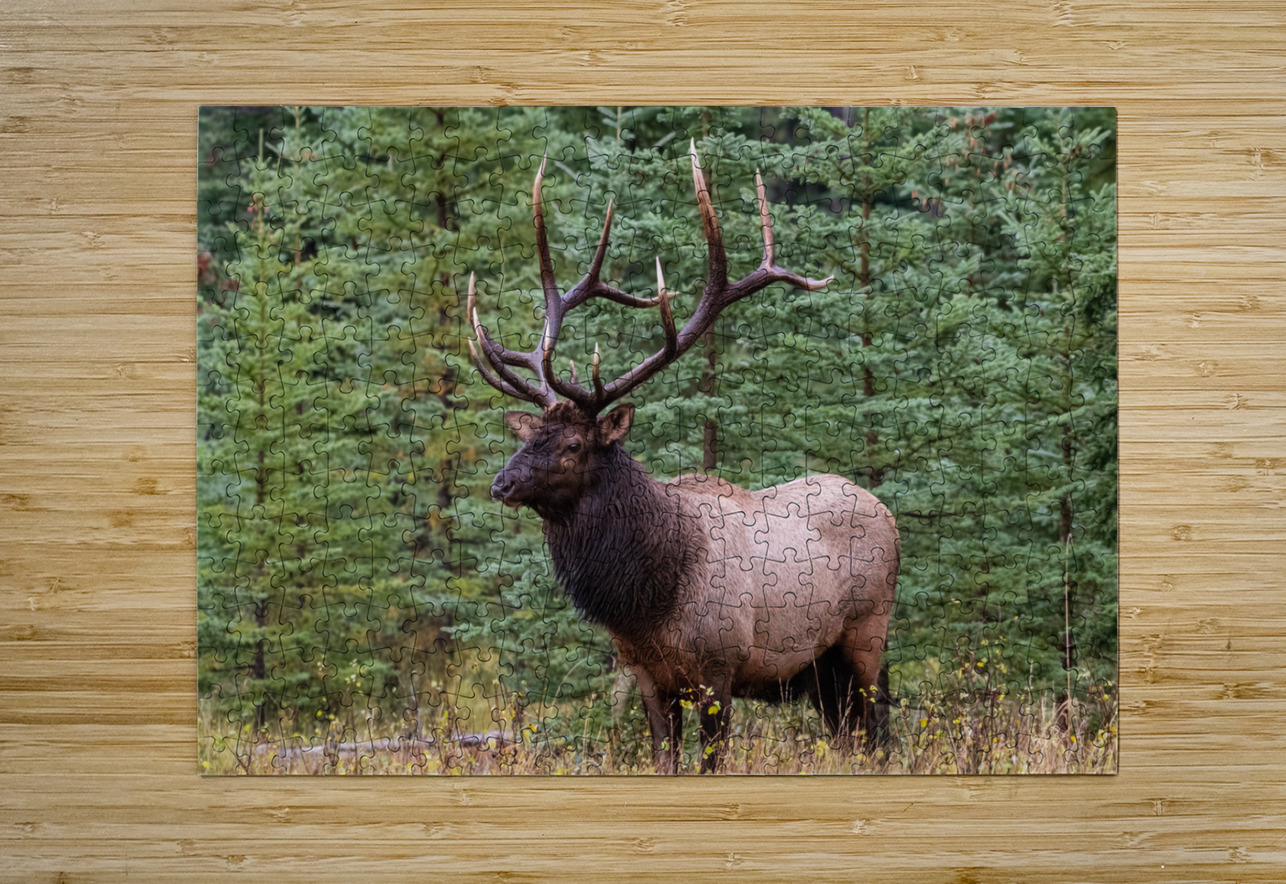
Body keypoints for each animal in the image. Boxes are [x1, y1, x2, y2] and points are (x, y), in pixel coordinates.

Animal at [466, 143, 899, 773]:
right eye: (530, 437)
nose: (502, 484)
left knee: (878, 730)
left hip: (867, 635)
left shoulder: (719, 669)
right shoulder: (648, 676)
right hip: (819, 668)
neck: (646, 598)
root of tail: (886, 510)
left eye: (573, 446)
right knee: (848, 733)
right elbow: (662, 760)